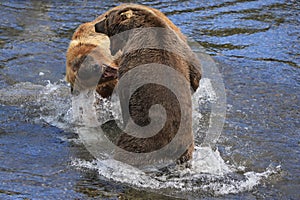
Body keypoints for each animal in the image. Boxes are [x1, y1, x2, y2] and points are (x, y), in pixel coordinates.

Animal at [95, 3, 200, 166]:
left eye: (106, 17)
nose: (95, 25)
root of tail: (173, 146)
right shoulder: (183, 52)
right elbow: (195, 73)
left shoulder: (132, 62)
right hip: (187, 146)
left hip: (142, 138)